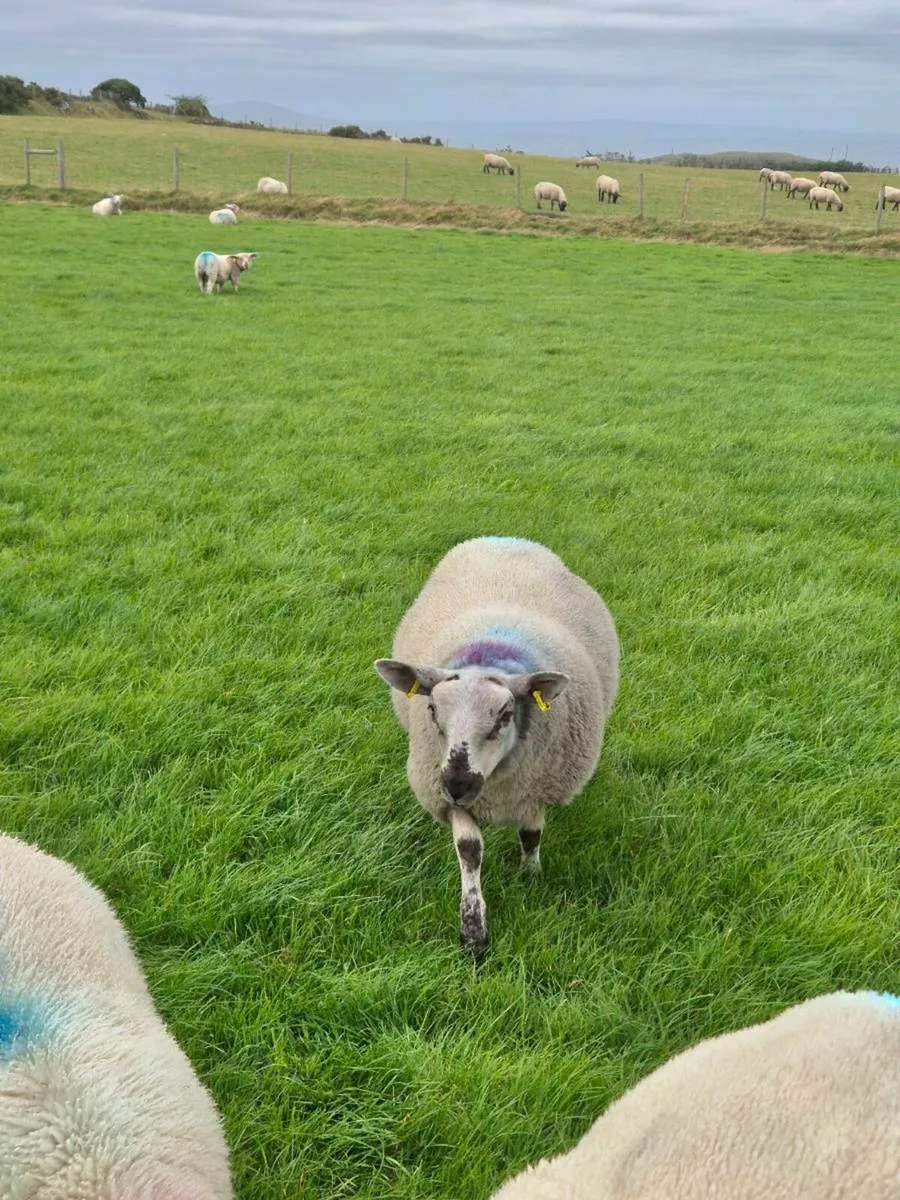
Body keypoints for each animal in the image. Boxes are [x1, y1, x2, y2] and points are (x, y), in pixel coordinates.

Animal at [374, 536, 618, 953]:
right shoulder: (444, 795)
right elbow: (469, 850)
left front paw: (530, 875)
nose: (458, 784)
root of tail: (502, 538)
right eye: (432, 709)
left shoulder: (537, 788)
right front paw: (473, 931)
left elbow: (531, 835)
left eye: (505, 714)